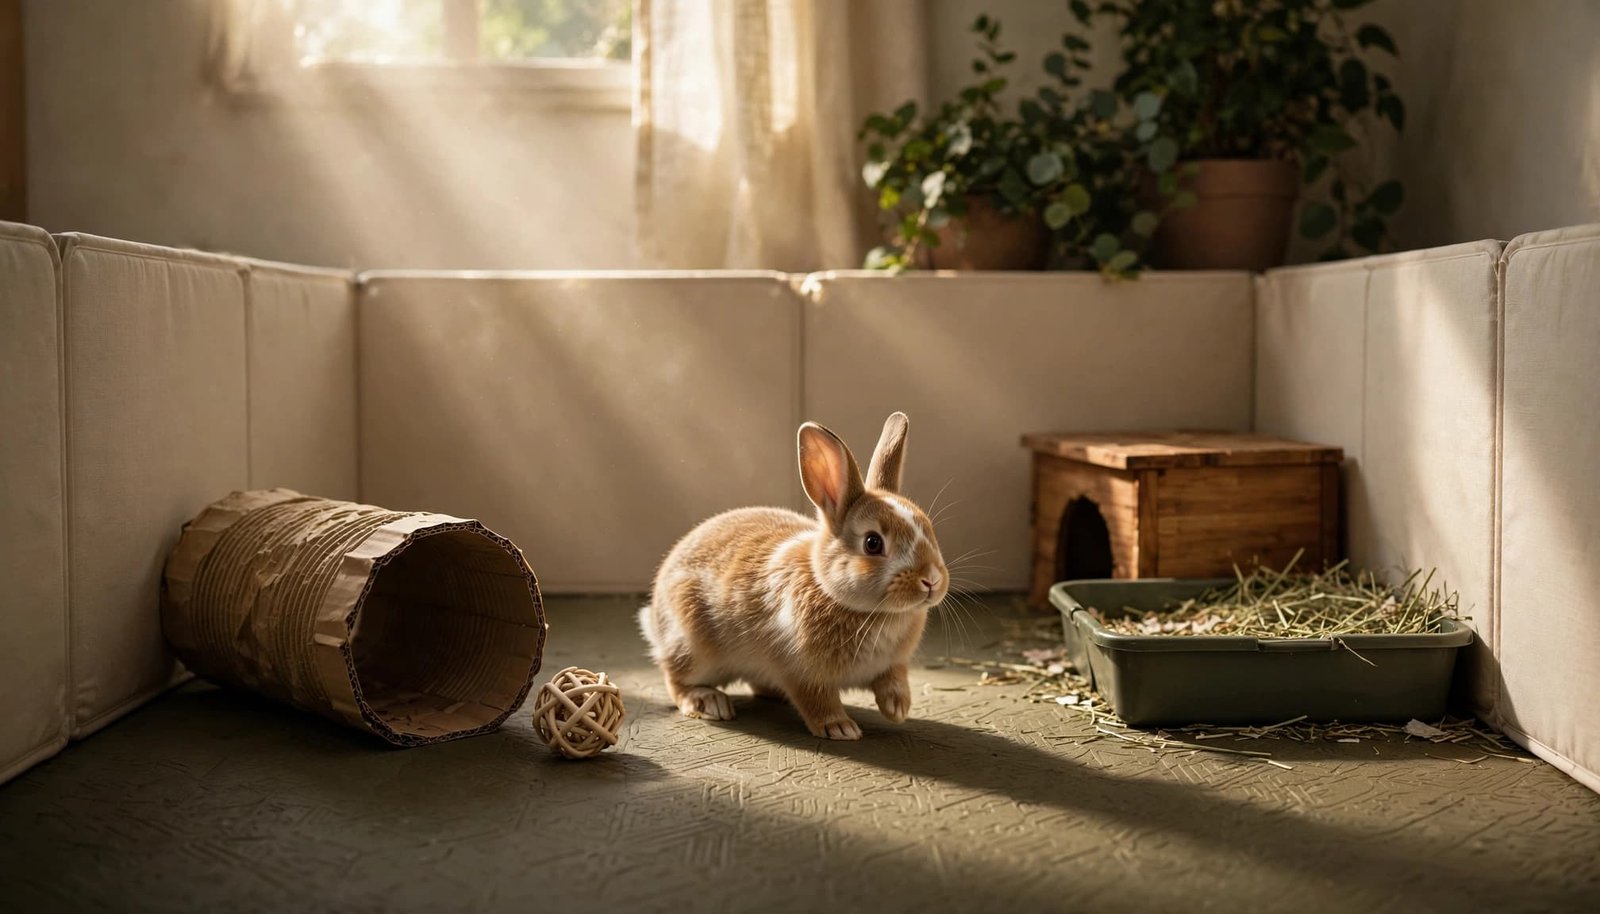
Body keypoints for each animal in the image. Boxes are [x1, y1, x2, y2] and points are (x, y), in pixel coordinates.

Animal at [638, 411, 949, 740]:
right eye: (873, 543)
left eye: (928, 528)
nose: (931, 579)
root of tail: (655, 620)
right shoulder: (800, 671)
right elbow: (817, 701)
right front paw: (840, 728)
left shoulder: (893, 665)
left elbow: (893, 680)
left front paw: (898, 708)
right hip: (691, 645)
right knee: (676, 680)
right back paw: (710, 703)